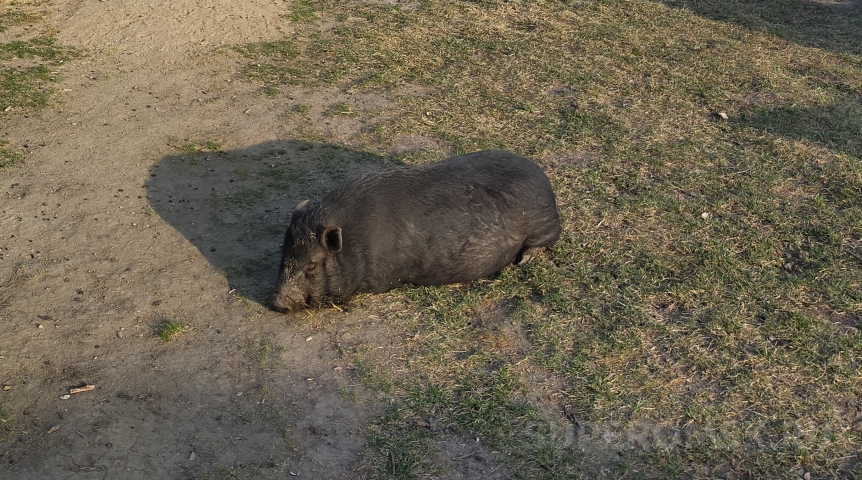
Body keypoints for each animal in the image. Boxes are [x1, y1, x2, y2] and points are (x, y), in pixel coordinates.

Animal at [271, 149, 561, 313]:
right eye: (283, 257)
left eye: (311, 266)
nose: (278, 304)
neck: (356, 241)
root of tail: (544, 179)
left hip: (543, 223)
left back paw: (524, 260)